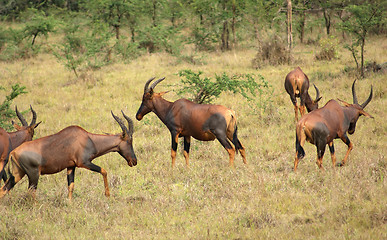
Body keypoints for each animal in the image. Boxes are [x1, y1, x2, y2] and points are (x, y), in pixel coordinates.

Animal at [0, 111, 138, 200]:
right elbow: (104, 171)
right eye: (129, 141)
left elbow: (70, 186)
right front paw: (108, 195)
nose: (134, 161)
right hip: (33, 174)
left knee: (4, 189)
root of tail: (14, 152)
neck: (88, 138)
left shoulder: (71, 166)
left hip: (18, 173)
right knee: (31, 192)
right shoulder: (84, 163)